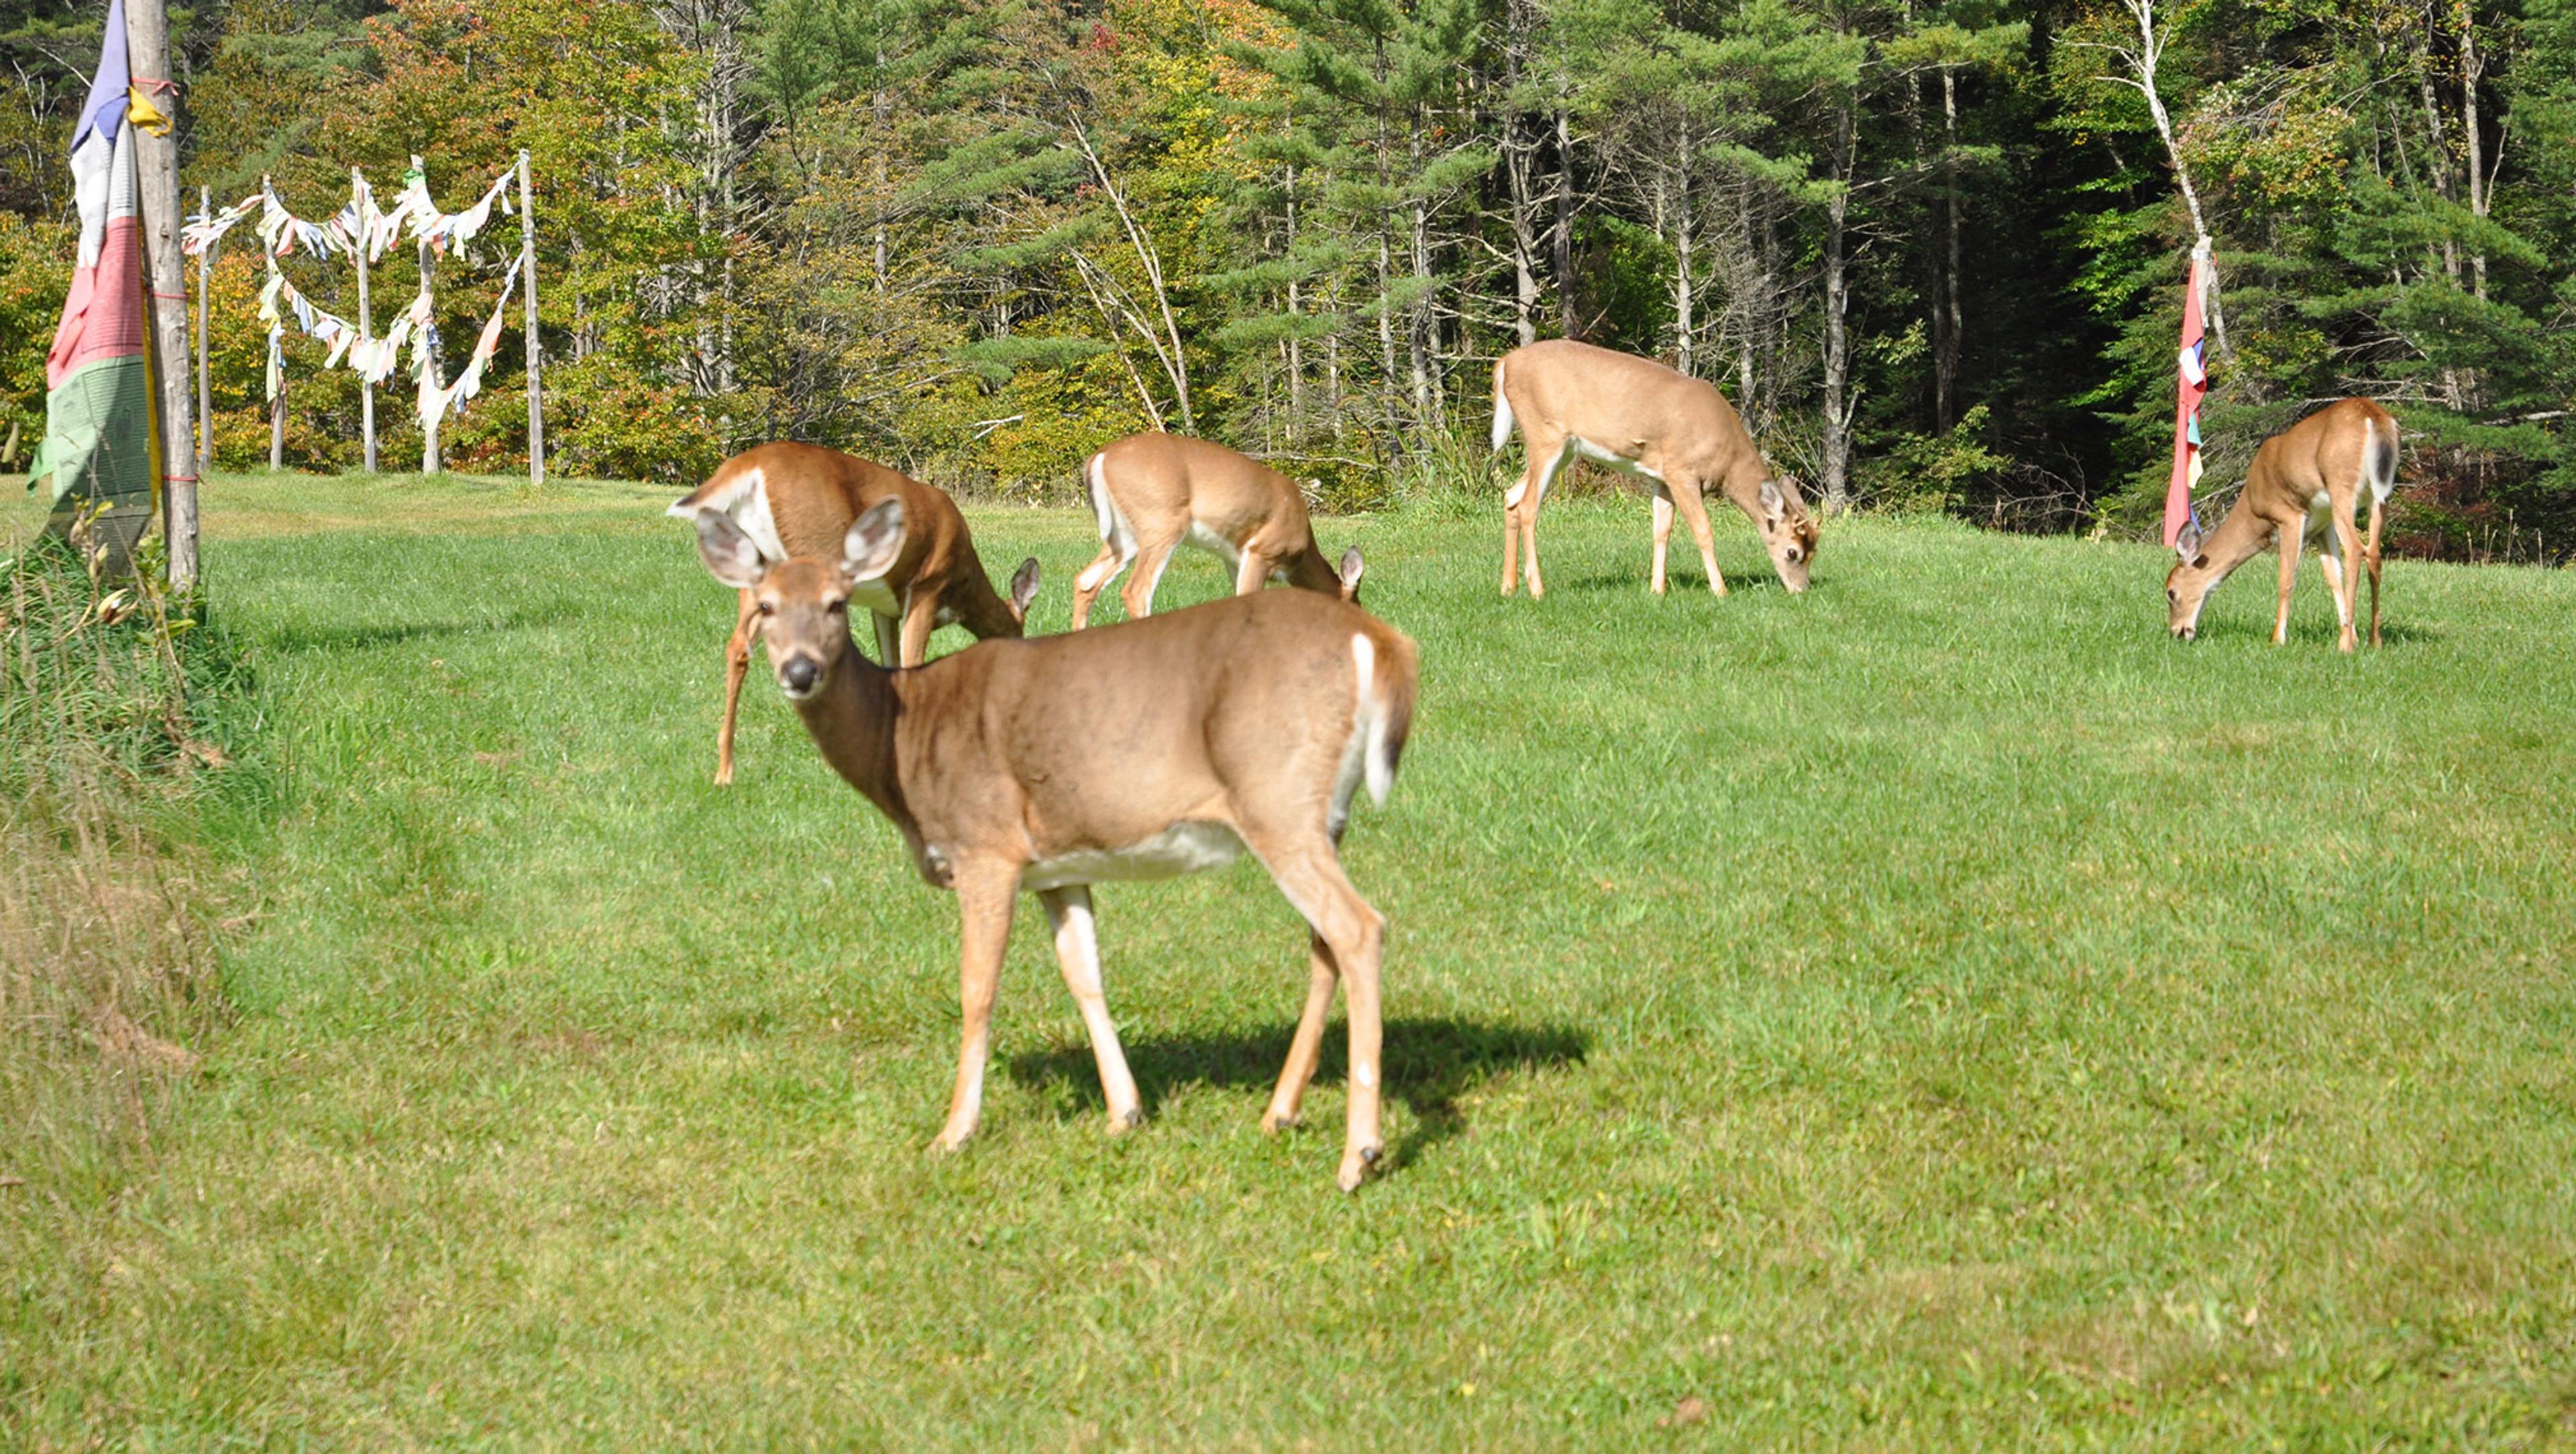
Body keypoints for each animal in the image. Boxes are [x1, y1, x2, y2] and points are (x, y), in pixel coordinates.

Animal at [669, 443, 1040, 784]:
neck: (964, 588)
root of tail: (750, 463)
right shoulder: (927, 585)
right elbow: (912, 661)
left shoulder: (885, 609)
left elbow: (893, 664)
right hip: (813, 551)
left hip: (753, 568)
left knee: (738, 648)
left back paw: (725, 773)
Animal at [685, 495, 1421, 1186]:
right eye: (767, 608)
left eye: (836, 604)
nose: (800, 671)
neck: (903, 740)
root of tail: (1379, 643)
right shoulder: (1058, 865)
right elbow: (1085, 974)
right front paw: (1125, 1112)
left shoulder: (986, 846)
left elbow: (977, 989)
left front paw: (954, 1132)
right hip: (1322, 812)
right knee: (1324, 942)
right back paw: (1280, 1112)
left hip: (1276, 794)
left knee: (1359, 927)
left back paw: (1358, 1153)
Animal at [1061, 430, 1360, 637]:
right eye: (1358, 606)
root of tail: (1100, 457)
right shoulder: (1261, 551)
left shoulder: (1234, 559)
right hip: (1162, 522)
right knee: (1137, 592)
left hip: (1124, 536)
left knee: (1085, 580)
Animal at [1483, 337, 1823, 598]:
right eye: (1793, 552)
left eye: (1814, 551)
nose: (1801, 590)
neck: (1728, 459)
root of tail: (1506, 363)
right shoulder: (1682, 471)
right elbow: (1703, 530)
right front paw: (1720, 590)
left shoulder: (1662, 478)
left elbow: (1662, 530)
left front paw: (1657, 590)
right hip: (1546, 435)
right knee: (1528, 506)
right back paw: (1537, 590)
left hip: (1564, 448)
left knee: (1512, 496)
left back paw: (1508, 588)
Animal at [2163, 394, 2400, 650]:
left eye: (2171, 592)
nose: (2177, 632)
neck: (2254, 514)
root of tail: (2373, 417)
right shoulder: (2322, 524)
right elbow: (2333, 576)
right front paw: (2351, 632)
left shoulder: (2288, 515)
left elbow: (2286, 578)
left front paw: (2277, 638)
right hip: (2380, 495)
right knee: (2374, 553)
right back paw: (2375, 640)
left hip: (2342, 487)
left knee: (2357, 550)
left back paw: (2345, 646)